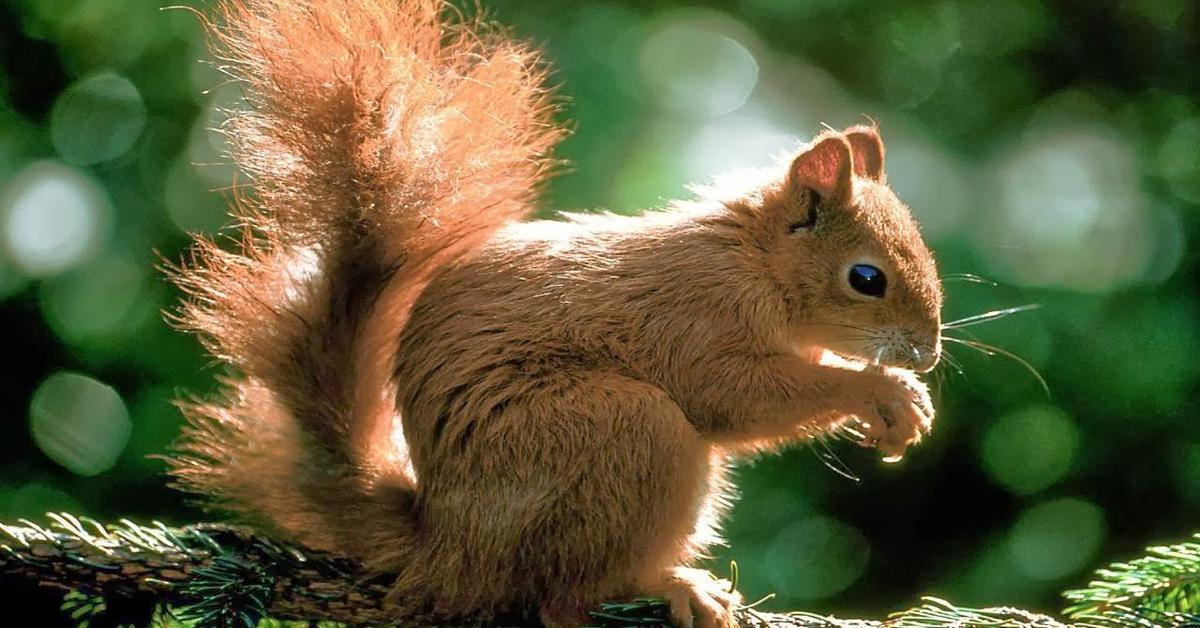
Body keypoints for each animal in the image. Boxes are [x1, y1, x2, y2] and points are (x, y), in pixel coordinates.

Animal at [164, 1, 940, 628]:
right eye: (866, 278)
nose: (929, 353)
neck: (754, 261)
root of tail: (447, 547)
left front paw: (903, 404)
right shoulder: (696, 318)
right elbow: (733, 396)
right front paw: (880, 390)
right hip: (617, 432)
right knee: (561, 595)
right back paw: (673, 585)